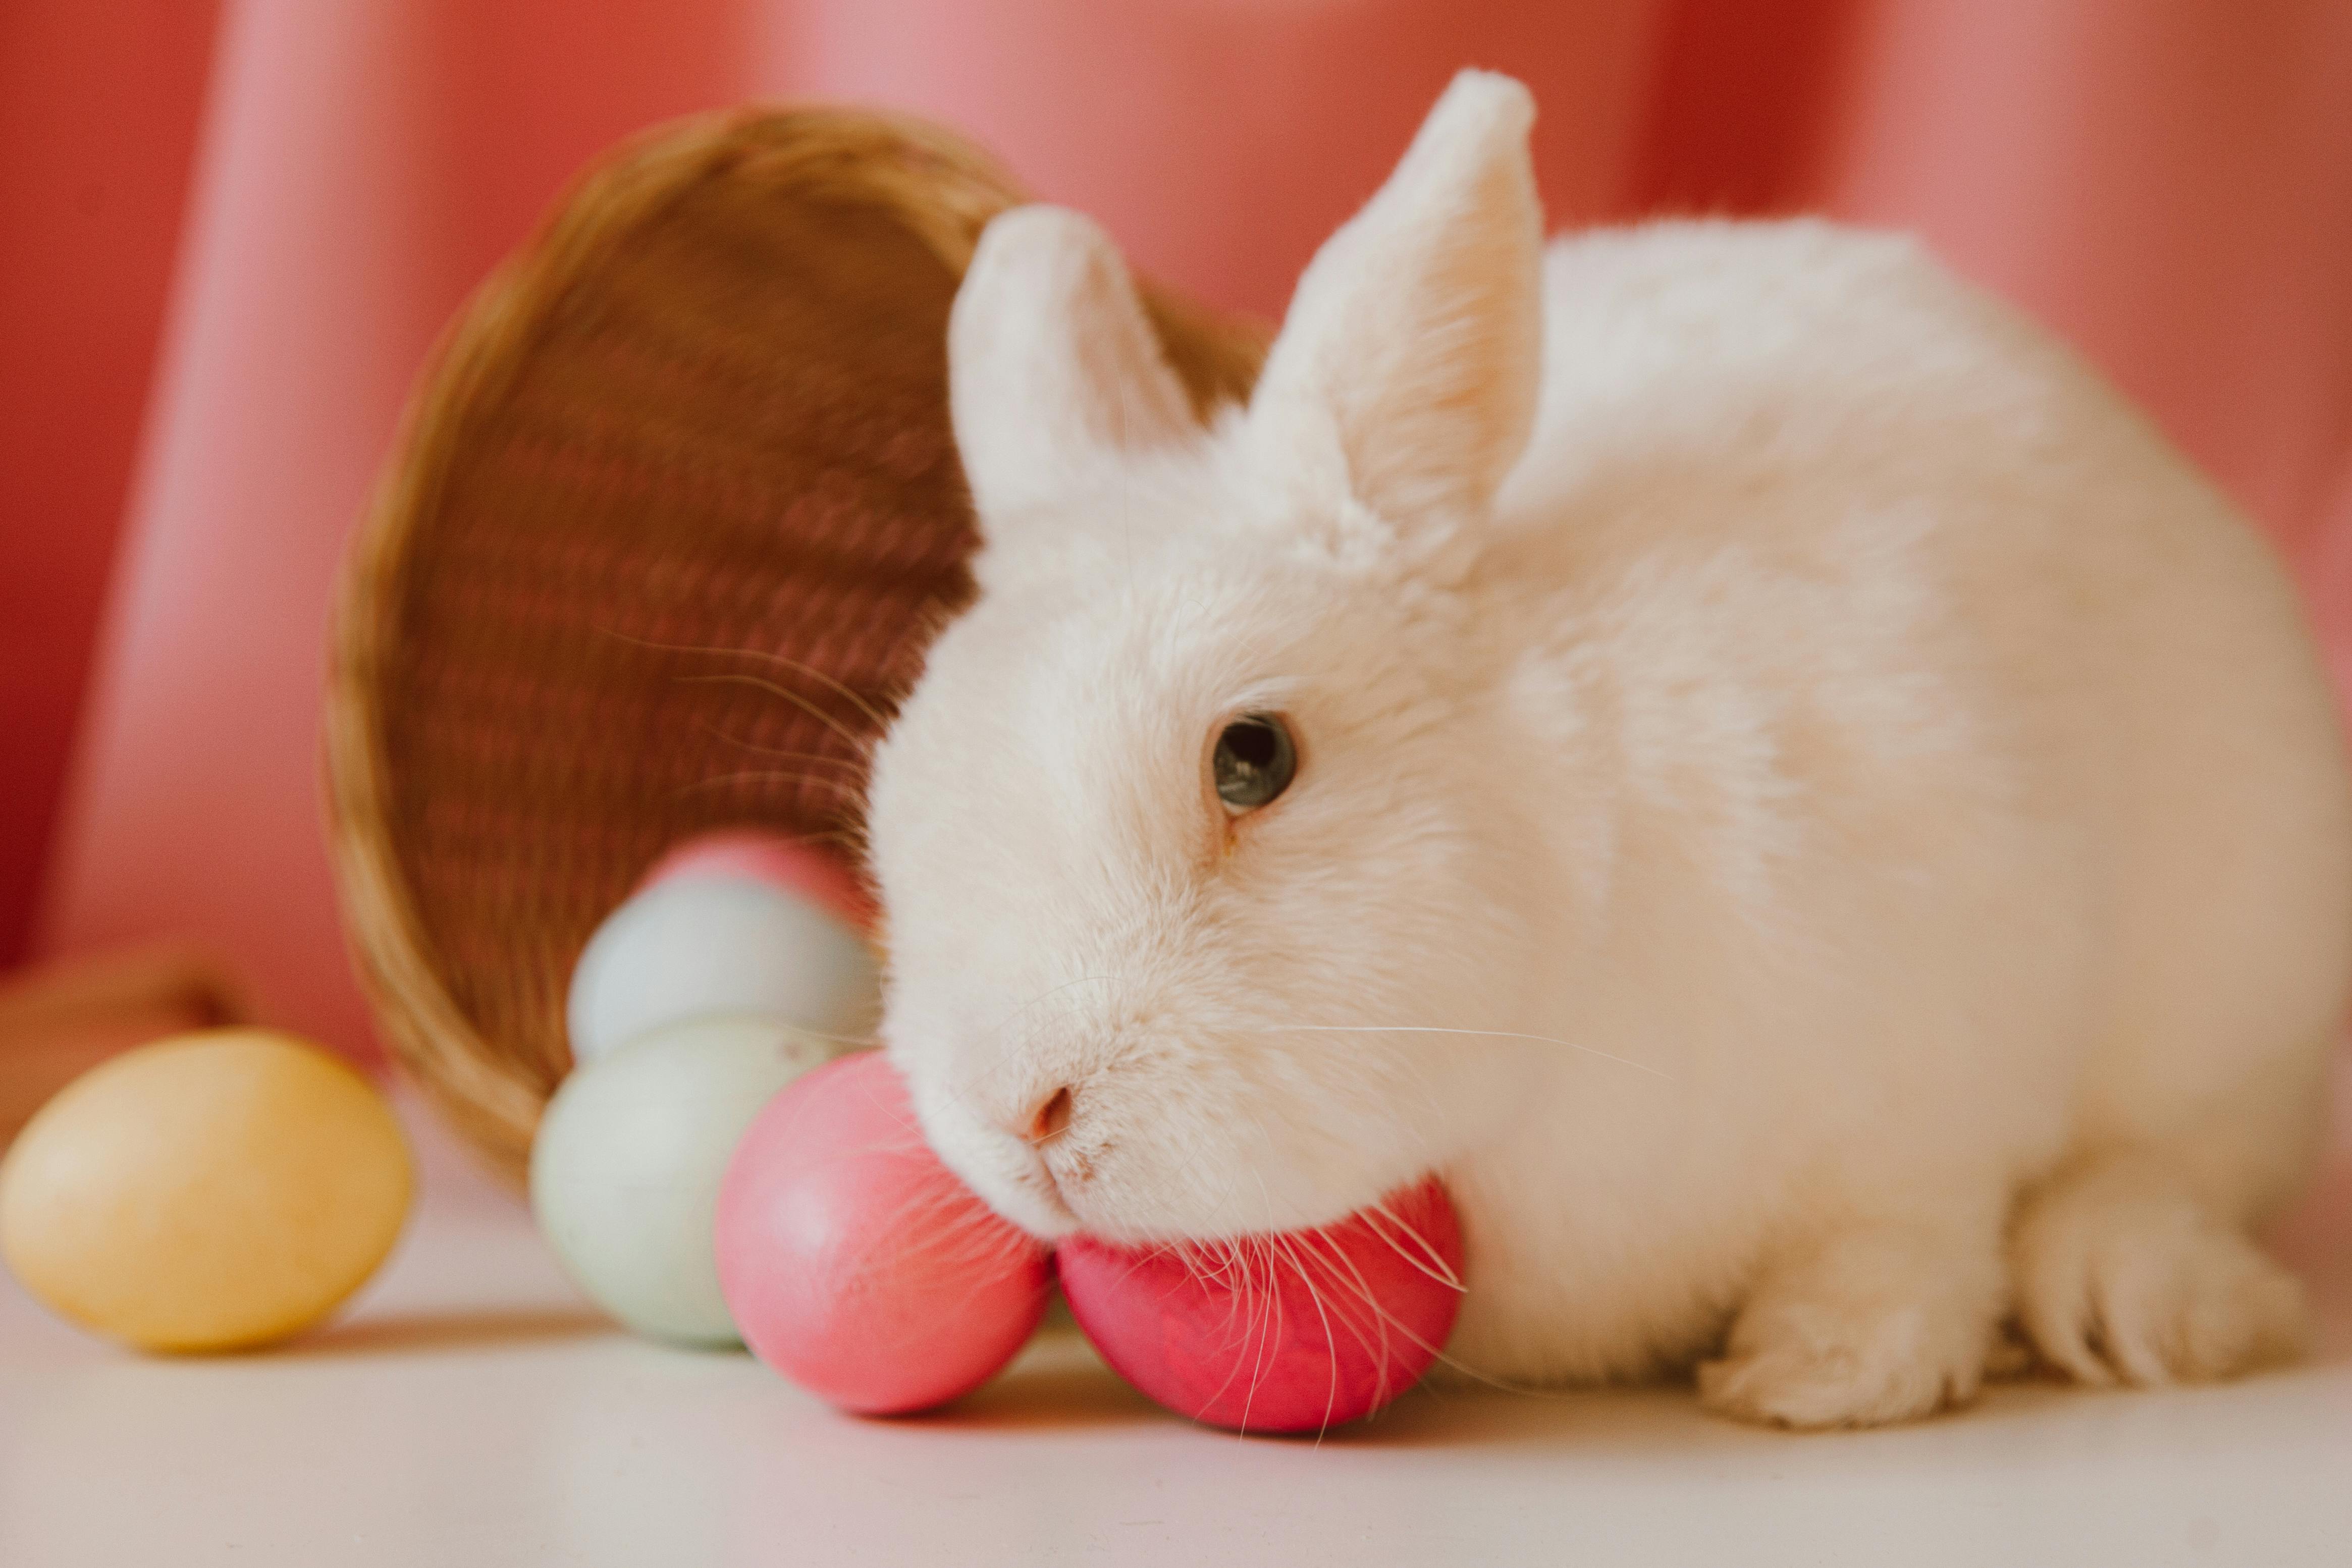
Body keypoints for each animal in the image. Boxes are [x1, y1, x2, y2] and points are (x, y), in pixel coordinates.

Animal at [870, 67, 2352, 1429]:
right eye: (892, 806)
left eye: (1252, 757)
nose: (1017, 1113)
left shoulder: (1942, 1066)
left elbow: (1905, 1235)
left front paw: (1816, 1374)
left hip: (2241, 980)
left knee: (2173, 1162)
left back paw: (2139, 1298)